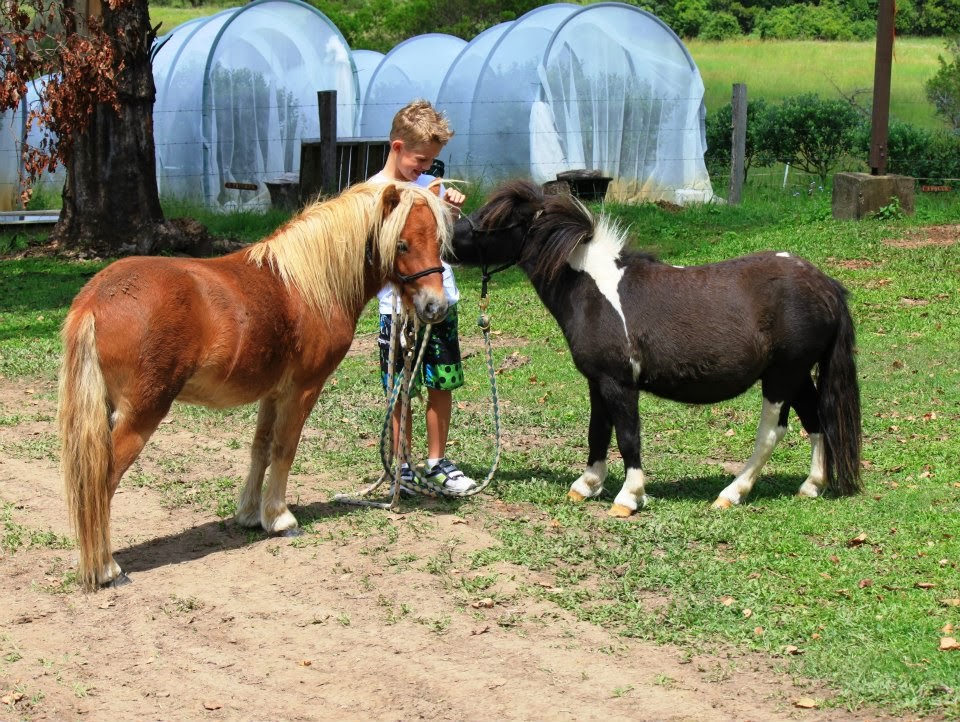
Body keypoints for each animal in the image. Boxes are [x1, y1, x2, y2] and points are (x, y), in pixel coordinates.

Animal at [60, 179, 450, 584]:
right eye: (401, 244)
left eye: (438, 240)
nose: (436, 307)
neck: (307, 285)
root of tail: (94, 300)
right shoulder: (302, 390)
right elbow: (284, 448)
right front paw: (279, 518)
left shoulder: (272, 393)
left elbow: (260, 448)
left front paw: (250, 515)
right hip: (140, 414)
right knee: (101, 481)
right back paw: (106, 568)